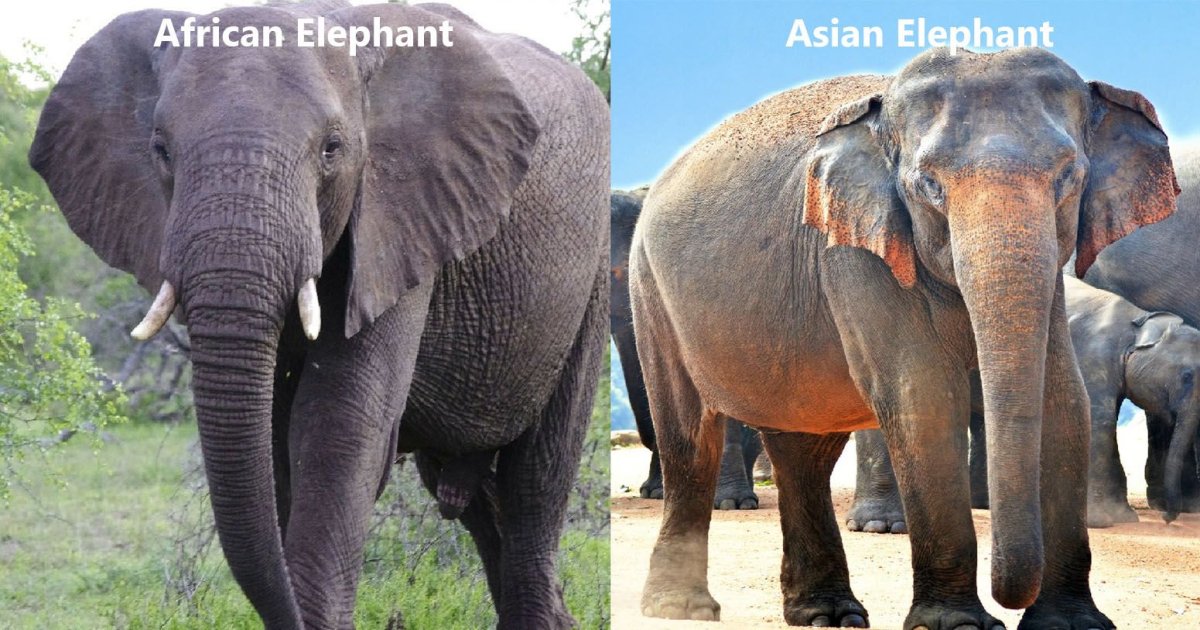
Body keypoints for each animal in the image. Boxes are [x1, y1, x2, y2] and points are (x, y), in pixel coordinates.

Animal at [29, 2, 608, 628]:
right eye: (160, 150)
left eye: (332, 149)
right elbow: (276, 439)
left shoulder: (401, 218)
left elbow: (337, 420)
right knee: (471, 494)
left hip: (592, 278)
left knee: (538, 477)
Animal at [630, 47, 1177, 629]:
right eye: (928, 186)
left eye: (1070, 178)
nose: (1010, 601)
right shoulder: (854, 251)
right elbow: (925, 400)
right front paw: (958, 625)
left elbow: (1063, 404)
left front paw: (1071, 624)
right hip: (651, 295)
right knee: (690, 439)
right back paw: (681, 606)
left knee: (803, 449)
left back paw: (827, 614)